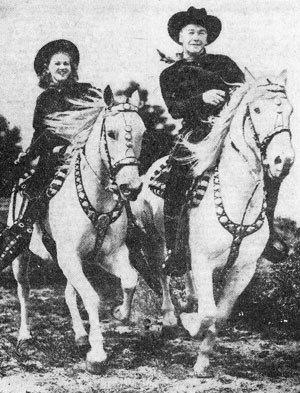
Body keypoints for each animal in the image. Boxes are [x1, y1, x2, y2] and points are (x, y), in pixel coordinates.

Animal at [9, 86, 145, 374]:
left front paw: (120, 314)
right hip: (21, 255)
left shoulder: (108, 254)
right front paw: (97, 355)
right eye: (112, 133)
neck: (96, 200)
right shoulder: (69, 257)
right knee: (24, 289)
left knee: (69, 293)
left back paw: (80, 334)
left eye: (142, 132)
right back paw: (25, 335)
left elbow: (130, 280)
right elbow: (92, 298)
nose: (131, 187)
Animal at [132, 71, 296, 376]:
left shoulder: (243, 270)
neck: (237, 199)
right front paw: (190, 323)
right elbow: (207, 314)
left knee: (182, 270)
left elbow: (220, 316)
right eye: (257, 110)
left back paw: (188, 300)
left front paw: (203, 361)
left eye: (290, 111)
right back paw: (171, 319)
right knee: (161, 272)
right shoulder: (204, 262)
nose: (284, 160)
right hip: (152, 238)